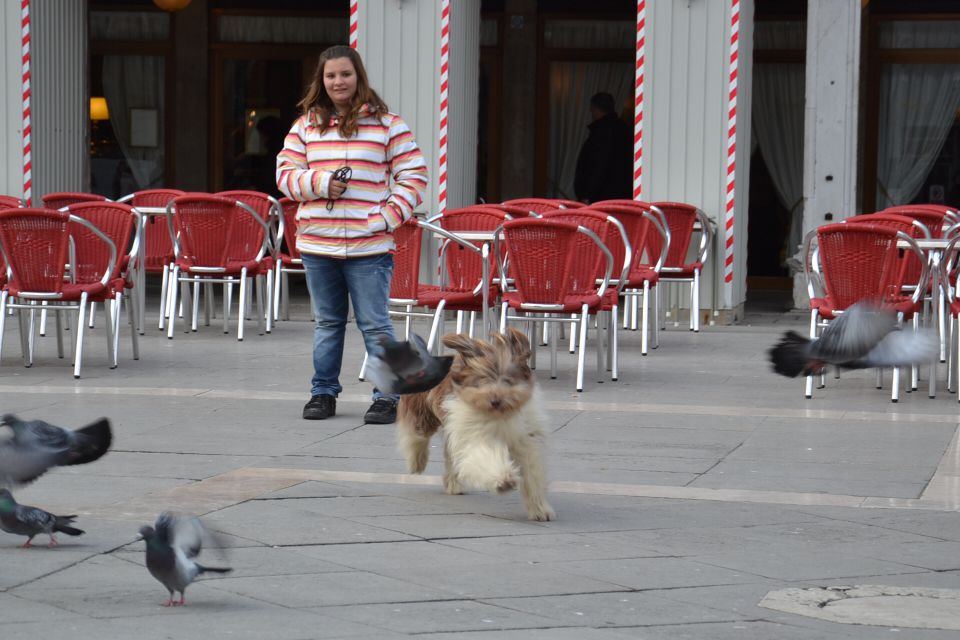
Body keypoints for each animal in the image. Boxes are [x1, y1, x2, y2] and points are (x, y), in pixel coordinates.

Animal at [394, 330, 552, 520]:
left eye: (507, 379)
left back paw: (453, 485)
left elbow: (532, 473)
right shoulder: (474, 436)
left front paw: (540, 510)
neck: (498, 416)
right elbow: (485, 456)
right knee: (416, 435)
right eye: (483, 378)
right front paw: (504, 481)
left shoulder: (523, 440)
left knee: (450, 455)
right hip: (423, 412)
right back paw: (417, 462)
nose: (495, 399)